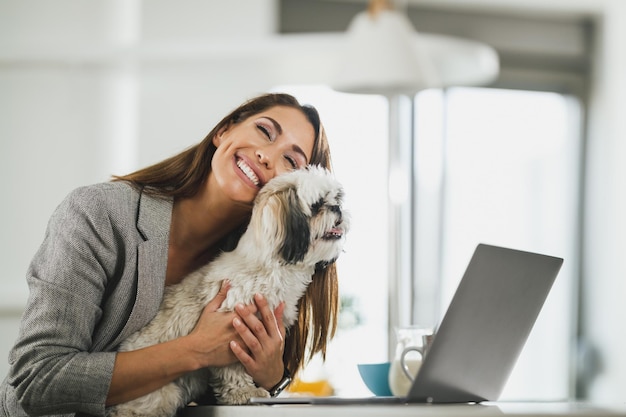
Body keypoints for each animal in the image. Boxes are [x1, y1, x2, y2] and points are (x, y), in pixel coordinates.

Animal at [108, 166, 352, 416]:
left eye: (336, 199)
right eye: (318, 205)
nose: (337, 208)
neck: (270, 266)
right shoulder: (234, 331)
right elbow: (232, 370)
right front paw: (244, 393)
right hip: (161, 396)